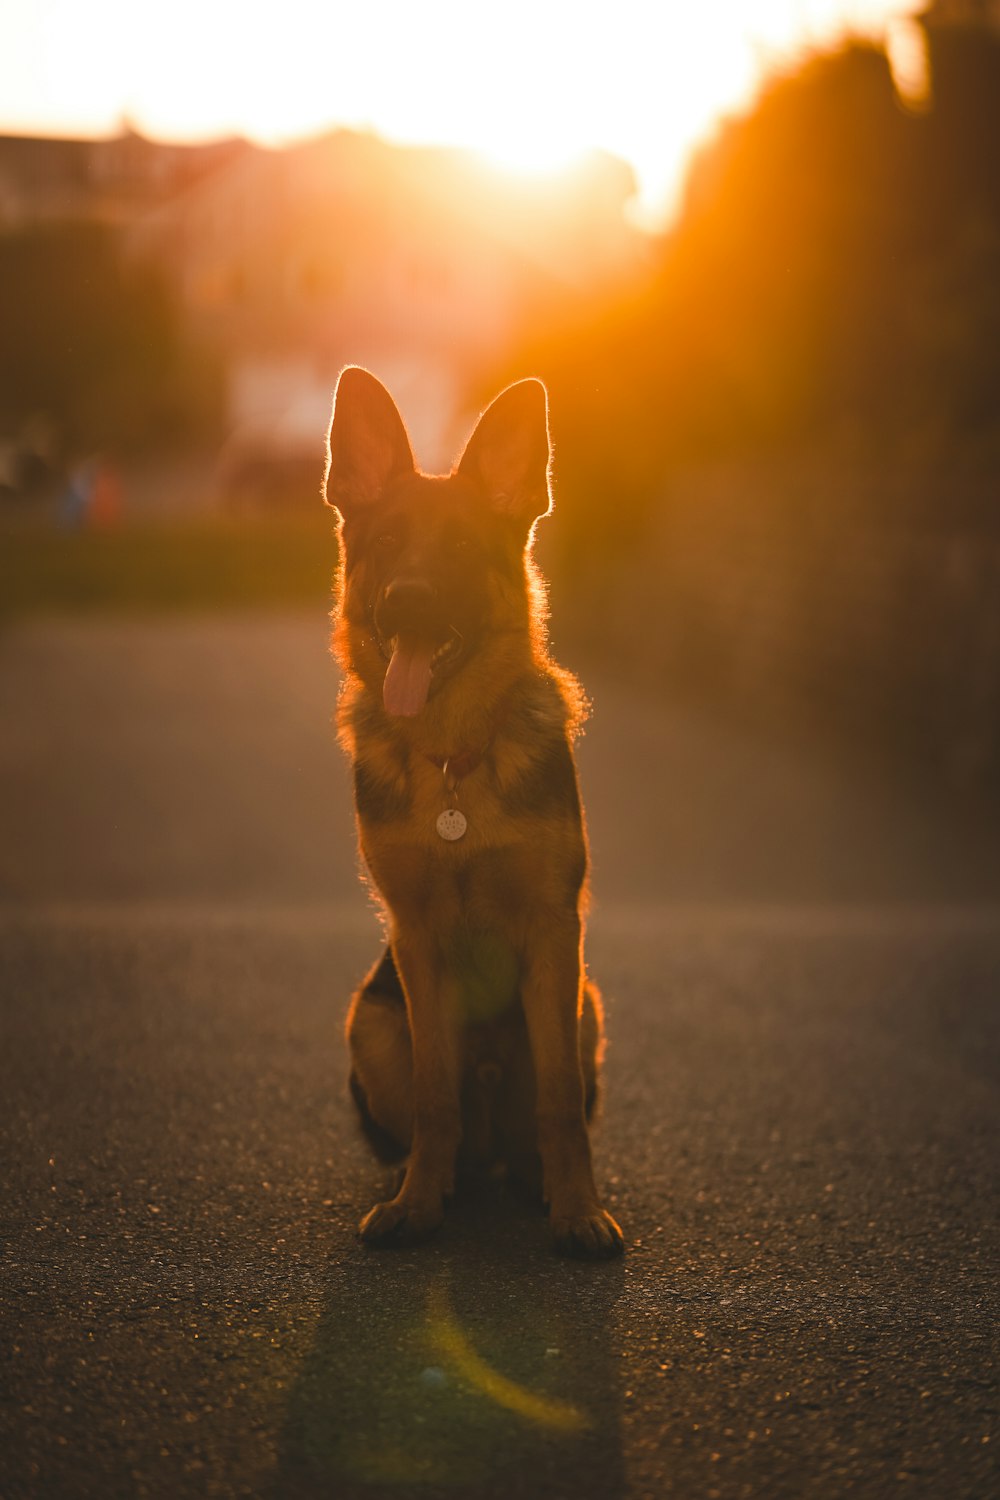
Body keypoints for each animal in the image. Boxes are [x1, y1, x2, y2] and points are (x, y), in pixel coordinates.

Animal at [325, 366, 620, 1254]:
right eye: (387, 544)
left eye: (459, 550)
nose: (406, 600)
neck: (455, 763)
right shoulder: (416, 940)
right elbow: (434, 1096)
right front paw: (417, 1205)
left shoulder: (555, 935)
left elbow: (560, 1104)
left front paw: (578, 1211)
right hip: (370, 1024)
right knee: (450, 1118)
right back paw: (443, 1179)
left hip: (585, 1006)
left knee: (536, 1121)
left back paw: (534, 1182)